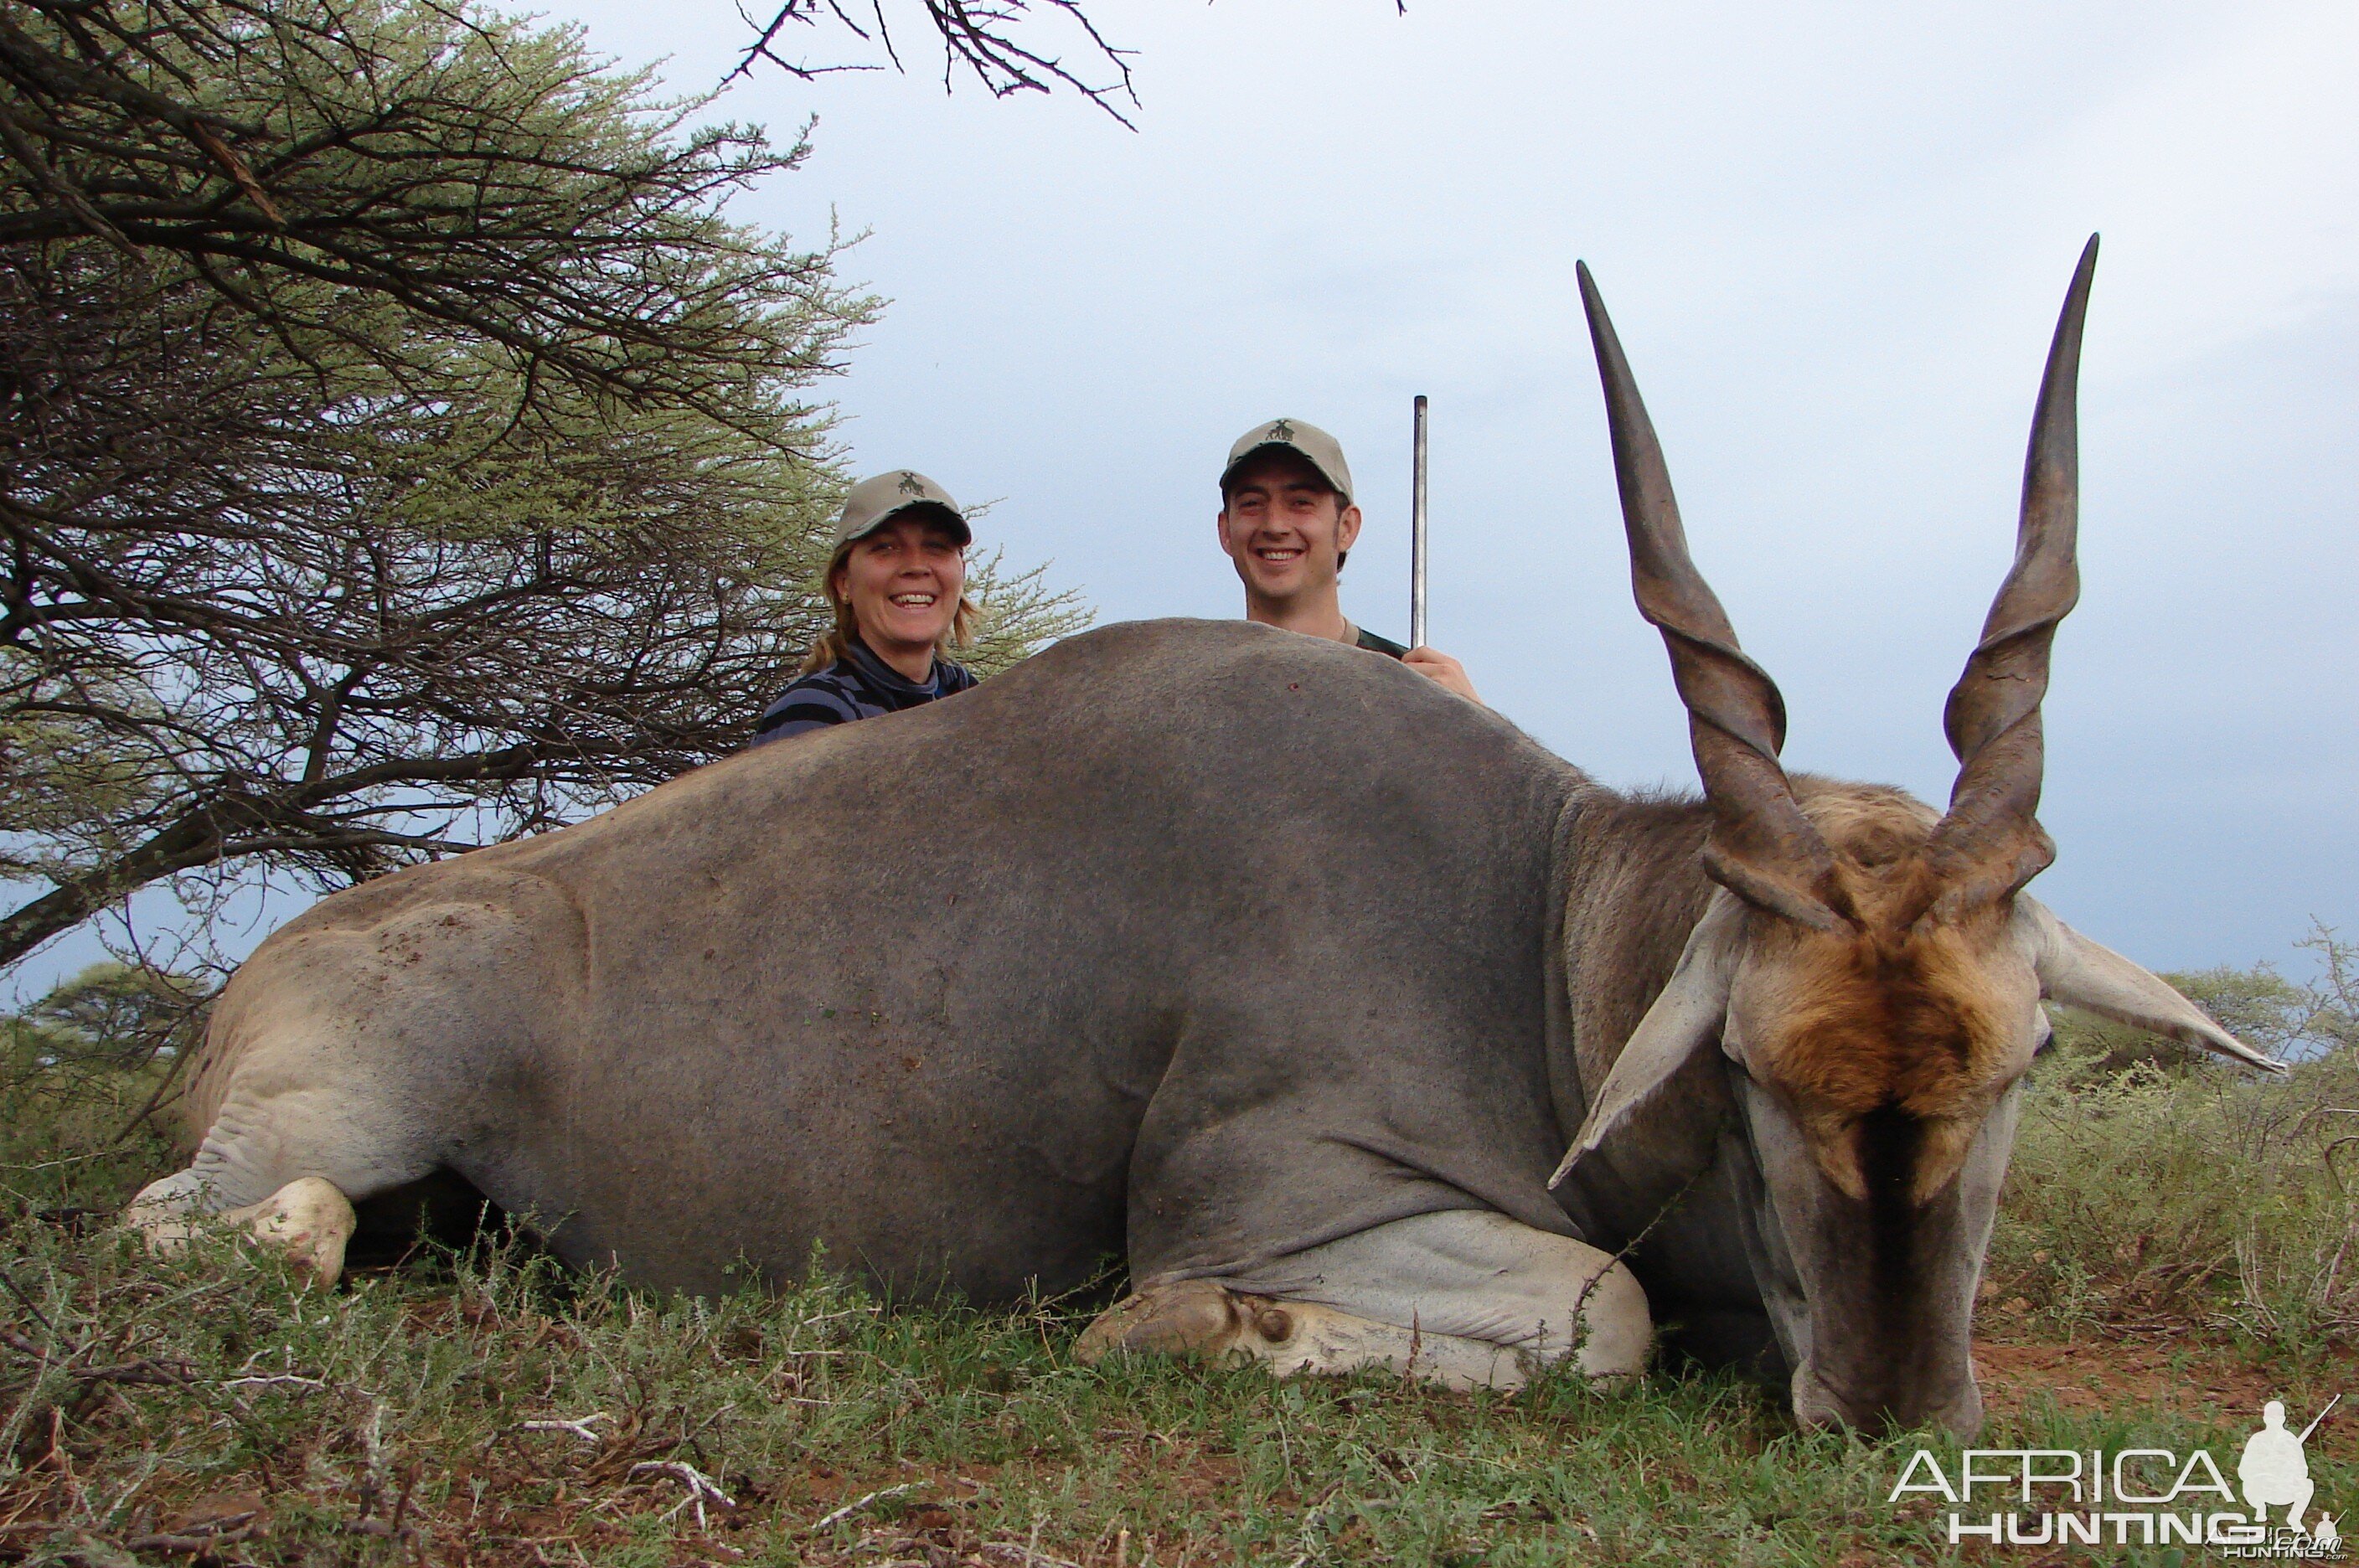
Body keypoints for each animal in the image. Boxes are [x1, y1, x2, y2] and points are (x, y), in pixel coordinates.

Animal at [124, 235, 2264, 1433]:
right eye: (1744, 1062)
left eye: (2026, 1054)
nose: (1898, 1404)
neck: (1533, 927)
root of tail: (246, 983)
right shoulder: (1292, 1193)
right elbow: (1607, 1311)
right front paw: (1177, 1327)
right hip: (325, 1126)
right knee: (228, 1228)